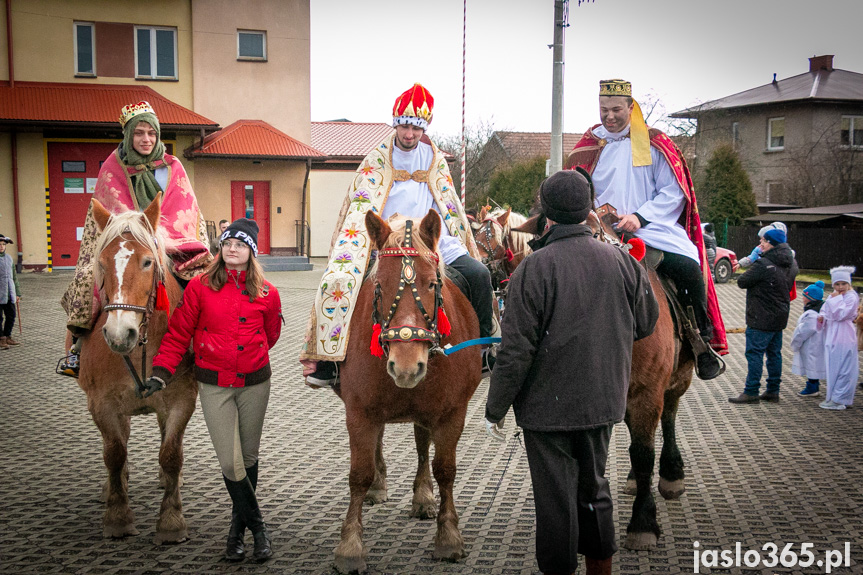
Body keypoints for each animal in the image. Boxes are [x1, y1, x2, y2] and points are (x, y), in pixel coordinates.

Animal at [75, 195, 197, 544]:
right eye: (102, 263)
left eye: (147, 262)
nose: (119, 334)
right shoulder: (101, 402)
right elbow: (114, 453)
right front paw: (117, 515)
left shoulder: (182, 398)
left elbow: (171, 454)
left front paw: (171, 520)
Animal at [330, 209, 482, 572]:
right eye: (379, 286)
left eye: (432, 283)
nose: (406, 366)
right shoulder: (359, 411)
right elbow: (358, 474)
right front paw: (350, 545)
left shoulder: (452, 413)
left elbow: (445, 470)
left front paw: (449, 537)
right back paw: (379, 486)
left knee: (422, 444)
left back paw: (423, 496)